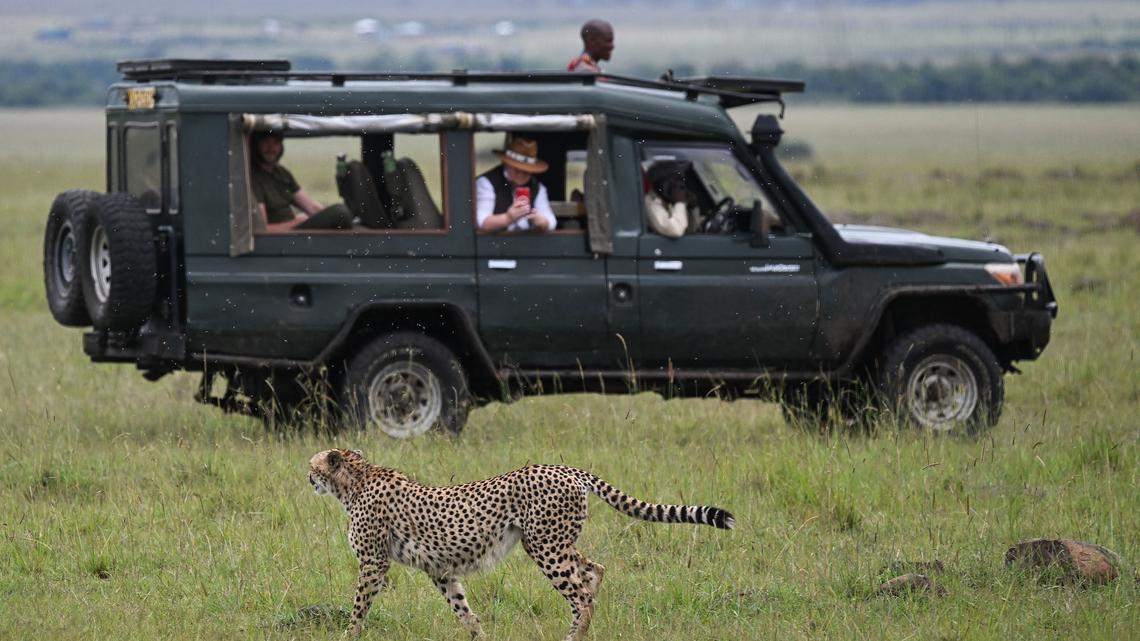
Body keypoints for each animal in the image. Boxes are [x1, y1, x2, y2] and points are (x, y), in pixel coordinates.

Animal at [307, 448, 734, 640]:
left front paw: (349, 634)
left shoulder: (373, 563)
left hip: (544, 546)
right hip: (554, 542)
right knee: (594, 571)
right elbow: (463, 610)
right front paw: (480, 637)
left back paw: (574, 636)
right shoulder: (440, 570)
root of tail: (565, 468)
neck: (356, 479)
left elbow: (359, 605)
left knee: (581, 593)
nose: (307, 478)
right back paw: (579, 630)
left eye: (313, 467)